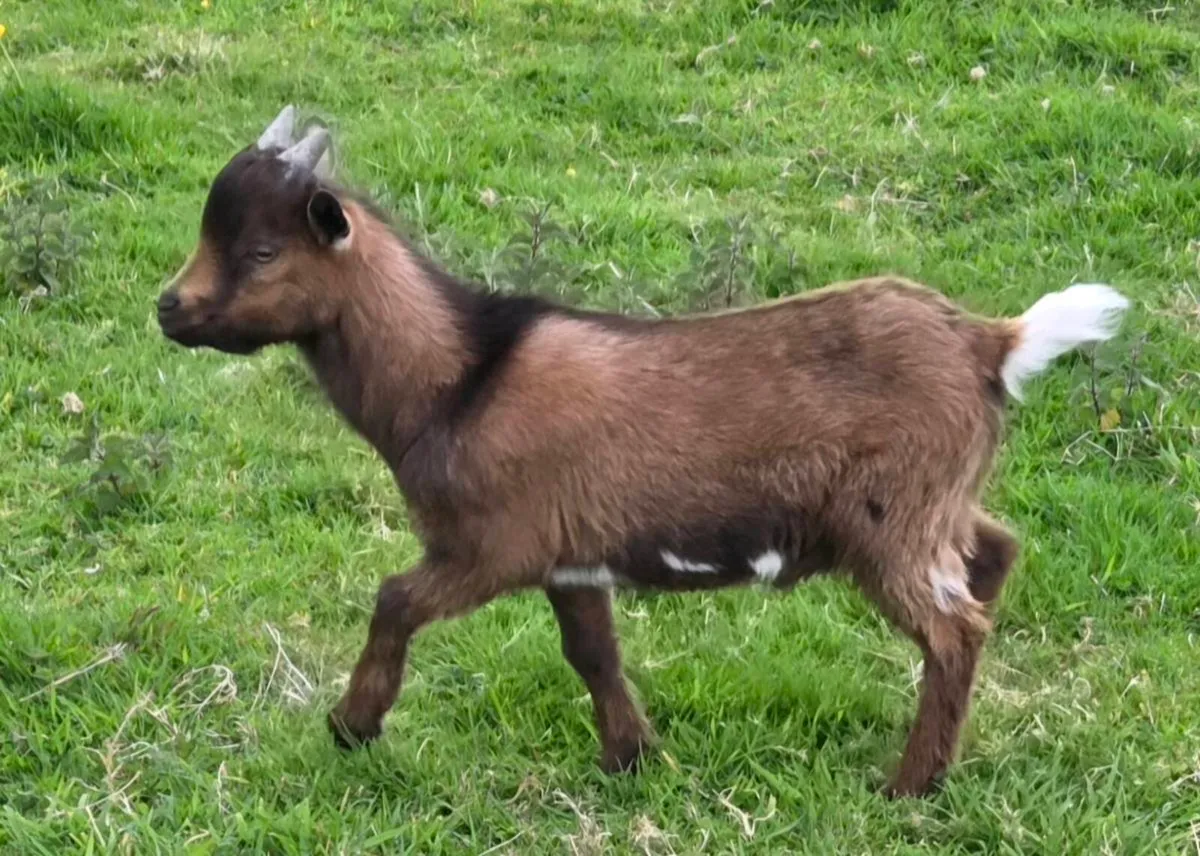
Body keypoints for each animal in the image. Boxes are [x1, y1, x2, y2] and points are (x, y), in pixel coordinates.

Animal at [157, 106, 1129, 797]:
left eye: (261, 250)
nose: (169, 308)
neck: (460, 376)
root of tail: (991, 344)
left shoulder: (493, 544)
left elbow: (394, 598)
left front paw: (352, 727)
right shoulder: (571, 555)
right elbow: (592, 651)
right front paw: (630, 756)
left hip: (892, 519)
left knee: (954, 626)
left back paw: (909, 786)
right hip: (939, 501)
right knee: (994, 553)